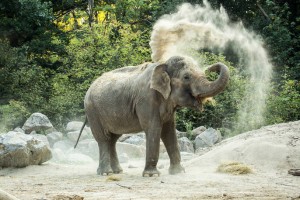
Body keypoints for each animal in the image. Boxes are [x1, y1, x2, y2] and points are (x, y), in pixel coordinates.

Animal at [75, 55, 230, 177]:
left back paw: (117, 171)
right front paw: (152, 175)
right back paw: (106, 173)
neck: (163, 63)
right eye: (186, 77)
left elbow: (169, 131)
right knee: (103, 139)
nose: (211, 67)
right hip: (93, 111)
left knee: (112, 139)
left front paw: (178, 172)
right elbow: (154, 129)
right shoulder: (146, 99)